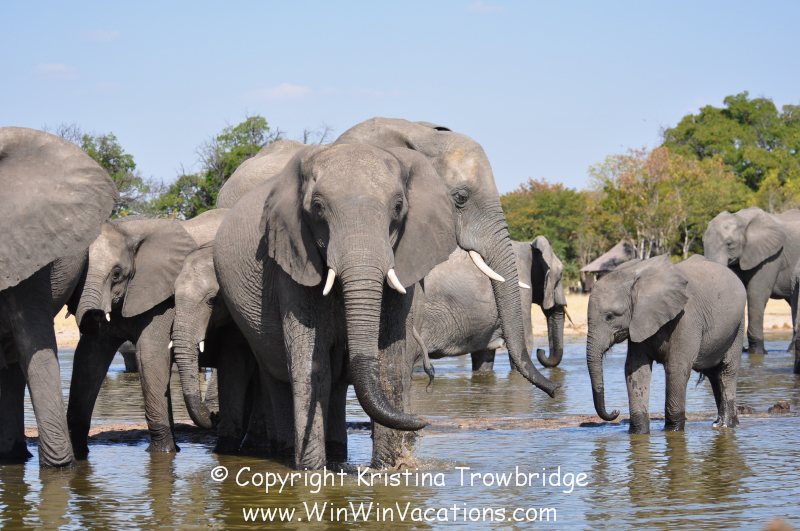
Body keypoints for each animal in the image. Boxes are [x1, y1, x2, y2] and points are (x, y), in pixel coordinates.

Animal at [66, 209, 227, 456]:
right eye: (78, 272)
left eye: (116, 274)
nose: (93, 315)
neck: (126, 231)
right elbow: (88, 359)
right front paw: (77, 454)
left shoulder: (160, 301)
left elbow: (151, 354)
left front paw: (162, 452)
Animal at [214, 143, 461, 469]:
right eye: (318, 207)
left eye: (398, 207)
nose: (422, 419)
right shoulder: (292, 261)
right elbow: (311, 366)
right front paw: (312, 473)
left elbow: (390, 361)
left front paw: (387, 470)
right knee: (277, 375)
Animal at [418, 236, 566, 371]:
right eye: (560, 274)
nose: (541, 350)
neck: (527, 246)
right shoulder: (521, 290)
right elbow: (526, 341)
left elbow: (483, 356)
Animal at [587, 254, 746, 434]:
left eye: (610, 317)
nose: (615, 411)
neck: (635, 273)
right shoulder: (639, 322)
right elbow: (636, 370)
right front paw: (638, 433)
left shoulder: (686, 319)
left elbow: (676, 368)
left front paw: (673, 431)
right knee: (714, 374)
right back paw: (722, 423)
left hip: (737, 326)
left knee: (727, 371)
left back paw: (725, 425)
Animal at [704, 206, 800, 354]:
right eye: (702, 242)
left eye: (729, 244)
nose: (743, 349)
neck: (741, 219)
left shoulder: (771, 256)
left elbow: (756, 293)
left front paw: (756, 353)